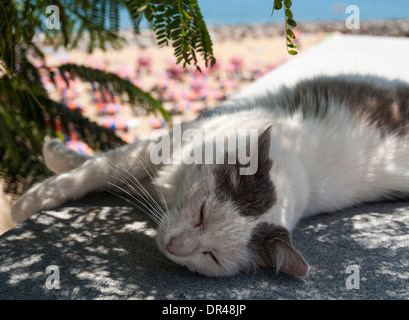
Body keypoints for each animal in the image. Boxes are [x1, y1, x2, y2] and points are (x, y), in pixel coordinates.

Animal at [9, 74, 408, 278]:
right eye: (201, 213)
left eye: (211, 256)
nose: (174, 246)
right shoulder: (175, 143)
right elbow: (101, 169)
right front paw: (34, 193)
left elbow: (115, 176)